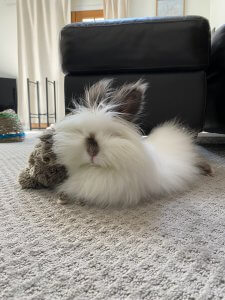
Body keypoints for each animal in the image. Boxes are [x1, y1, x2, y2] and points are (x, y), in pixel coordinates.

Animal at [51, 78, 212, 207]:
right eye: (80, 131)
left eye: (112, 134)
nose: (91, 151)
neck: (97, 171)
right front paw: (63, 197)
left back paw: (209, 170)